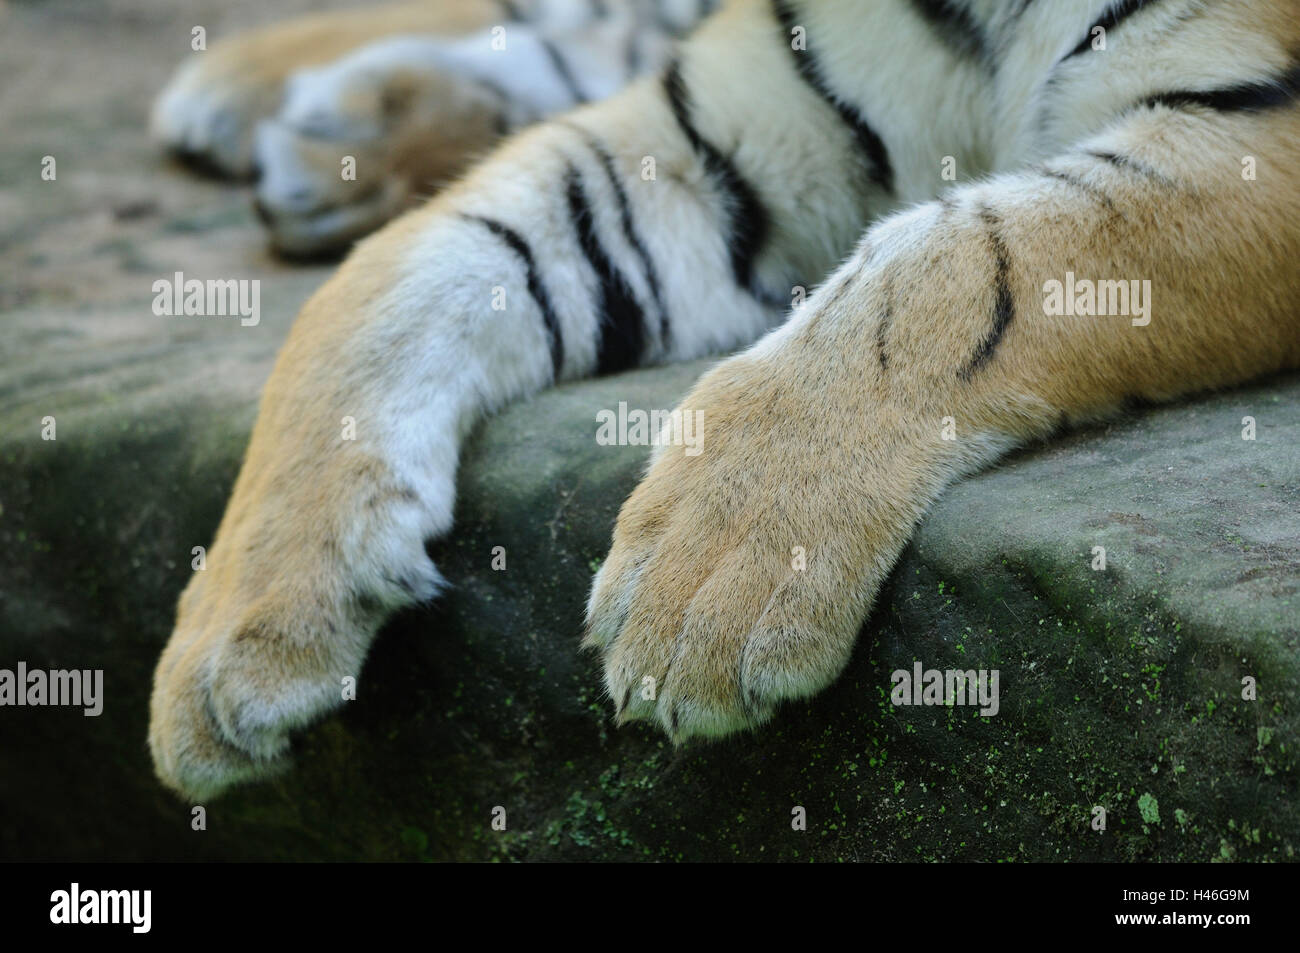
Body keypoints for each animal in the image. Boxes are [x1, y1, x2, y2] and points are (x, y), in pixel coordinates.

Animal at [147, 0, 1300, 799]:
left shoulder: (1260, 133)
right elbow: (398, 273)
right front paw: (236, 630)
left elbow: (961, 259)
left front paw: (713, 577)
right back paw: (291, 109)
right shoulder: (708, 138)